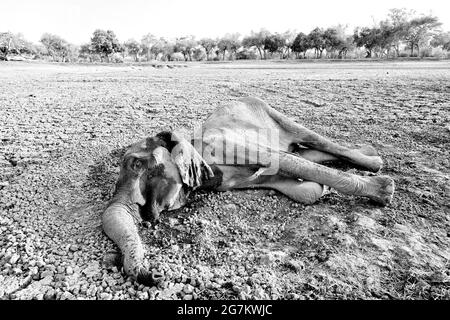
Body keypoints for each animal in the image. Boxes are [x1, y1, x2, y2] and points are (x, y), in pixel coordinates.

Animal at [101, 97, 394, 284]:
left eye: (137, 164)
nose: (156, 275)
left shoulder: (223, 143)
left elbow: (279, 159)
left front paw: (384, 191)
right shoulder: (227, 180)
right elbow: (299, 187)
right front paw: (318, 189)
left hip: (271, 111)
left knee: (310, 139)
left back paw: (375, 165)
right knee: (303, 151)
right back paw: (367, 153)